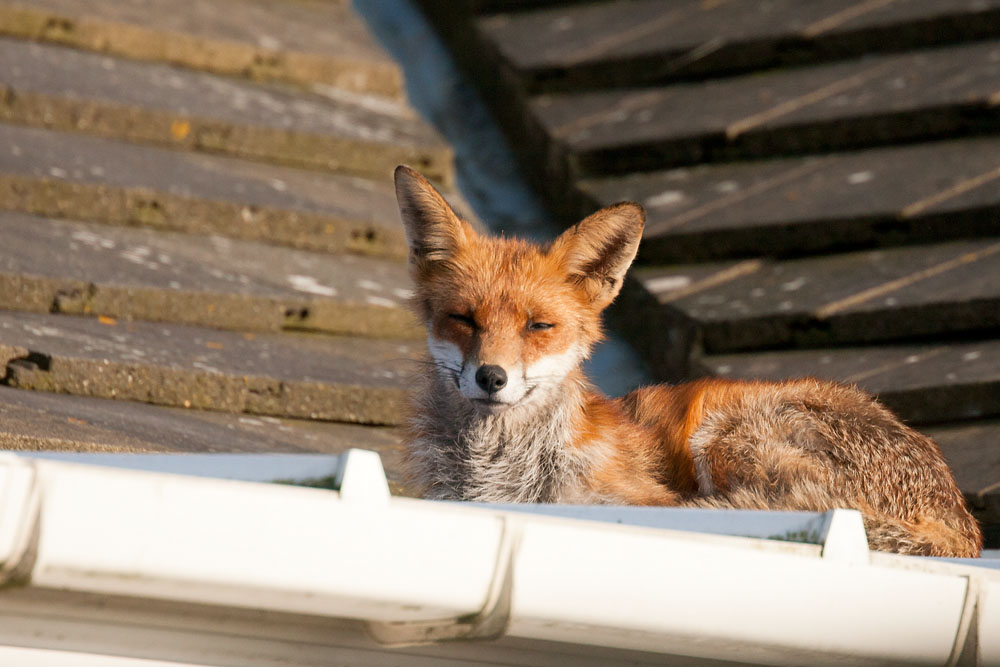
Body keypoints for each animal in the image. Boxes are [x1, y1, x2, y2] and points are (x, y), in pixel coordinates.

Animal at [393, 165, 982, 558]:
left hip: (726, 432)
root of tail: (960, 523)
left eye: (538, 326)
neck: (499, 477)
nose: (491, 377)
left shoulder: (638, 496)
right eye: (464, 319)